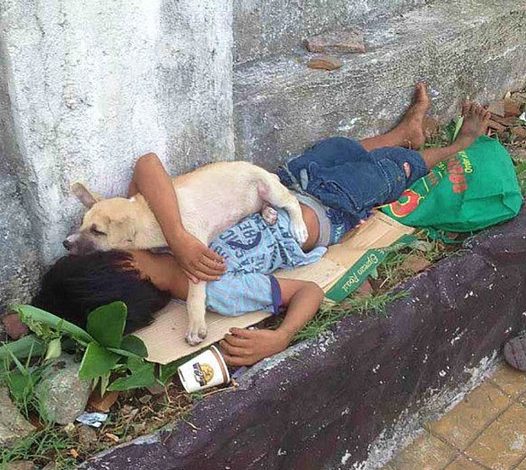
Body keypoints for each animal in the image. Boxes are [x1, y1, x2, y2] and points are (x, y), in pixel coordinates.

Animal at [65, 161, 310, 346]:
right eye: (82, 223)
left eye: (97, 231)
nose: (65, 243)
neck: (150, 217)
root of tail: (260, 168)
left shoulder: (196, 252)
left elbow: (194, 296)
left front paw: (195, 327)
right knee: (264, 205)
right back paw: (268, 213)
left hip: (269, 187)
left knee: (291, 200)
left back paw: (298, 226)